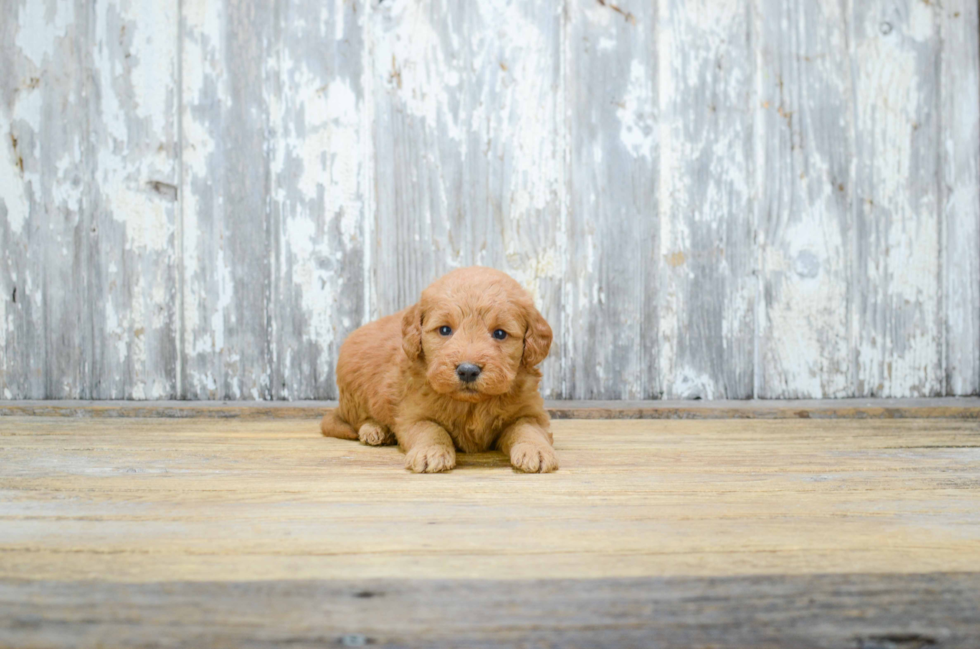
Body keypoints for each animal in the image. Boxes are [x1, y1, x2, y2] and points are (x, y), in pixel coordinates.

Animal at [318, 266, 556, 474]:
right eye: (444, 330)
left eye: (500, 333)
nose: (467, 370)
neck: (471, 405)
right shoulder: (412, 414)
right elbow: (431, 429)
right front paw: (430, 452)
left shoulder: (531, 412)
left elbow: (528, 428)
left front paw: (536, 450)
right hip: (356, 389)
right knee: (360, 419)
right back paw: (375, 430)